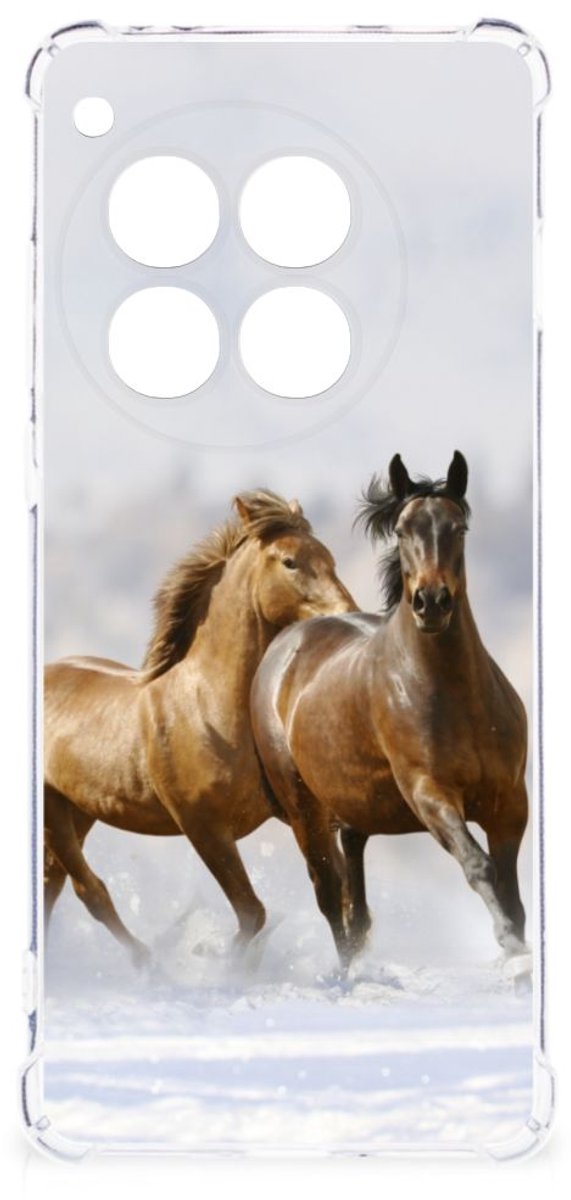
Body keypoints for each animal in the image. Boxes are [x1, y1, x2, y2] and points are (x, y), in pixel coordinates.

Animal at [44, 490, 356, 966]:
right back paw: (149, 963)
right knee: (87, 890)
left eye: (329, 557)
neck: (209, 707)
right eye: (290, 562)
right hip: (53, 811)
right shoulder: (203, 827)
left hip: (78, 810)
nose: (348, 615)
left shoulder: (299, 813)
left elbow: (334, 892)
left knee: (53, 884)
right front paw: (218, 960)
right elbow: (252, 913)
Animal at [251, 453, 529, 971]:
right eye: (401, 530)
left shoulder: (510, 802)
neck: (457, 698)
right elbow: (478, 866)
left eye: (459, 527)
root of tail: (284, 646)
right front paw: (511, 947)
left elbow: (511, 890)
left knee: (354, 899)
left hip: (353, 808)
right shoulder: (430, 794)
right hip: (304, 810)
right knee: (329, 894)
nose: (431, 602)